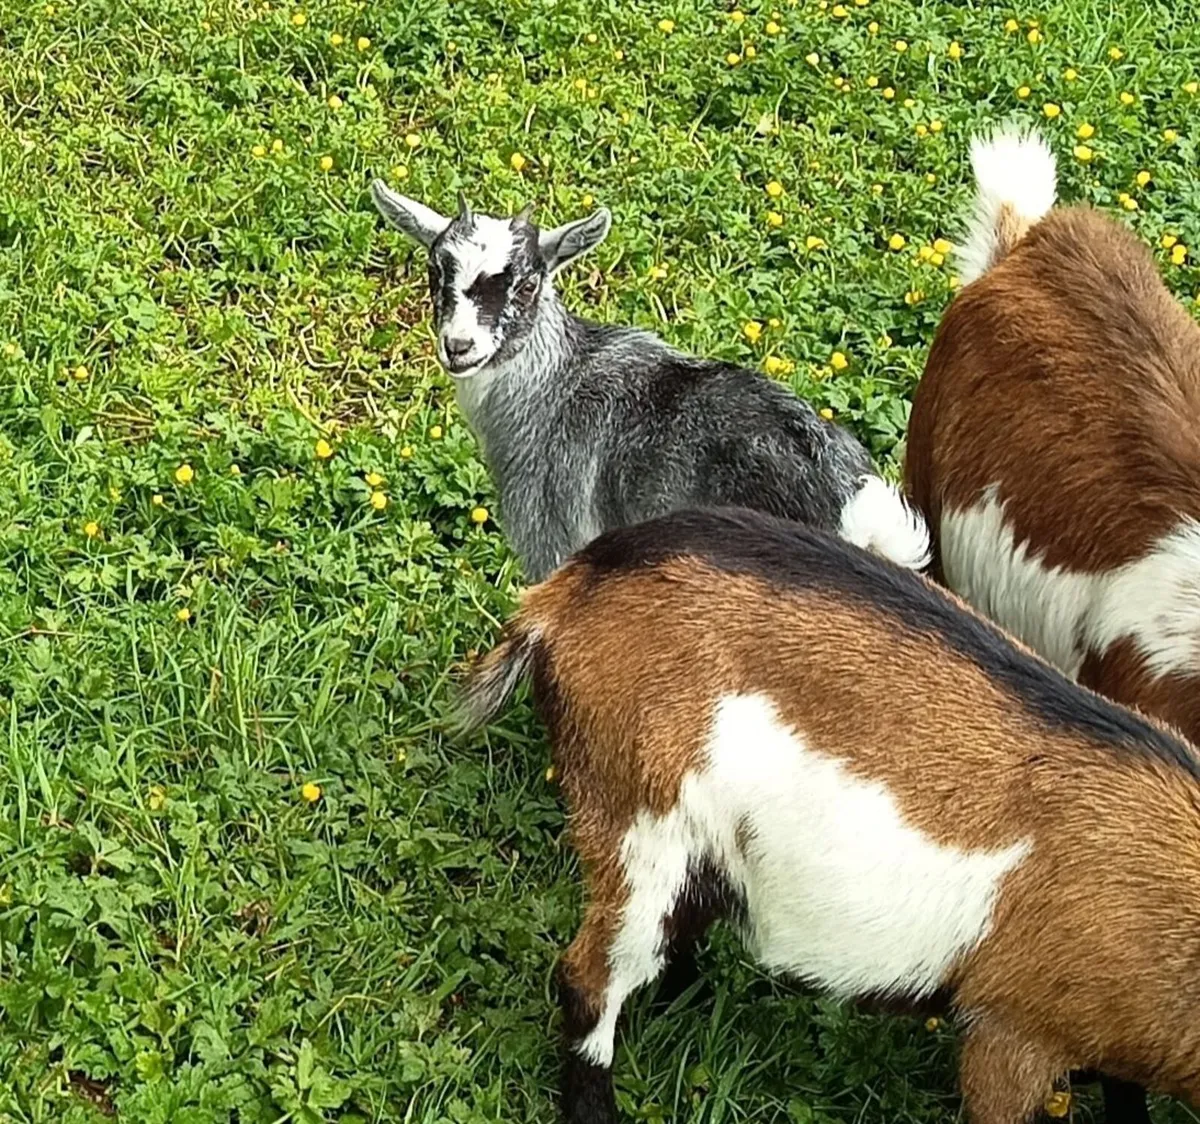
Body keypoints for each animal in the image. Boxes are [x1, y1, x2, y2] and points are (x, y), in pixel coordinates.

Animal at [370, 182, 929, 581]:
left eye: (527, 284)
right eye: (435, 272)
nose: (459, 346)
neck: (554, 387)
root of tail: (851, 505)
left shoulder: (553, 536)